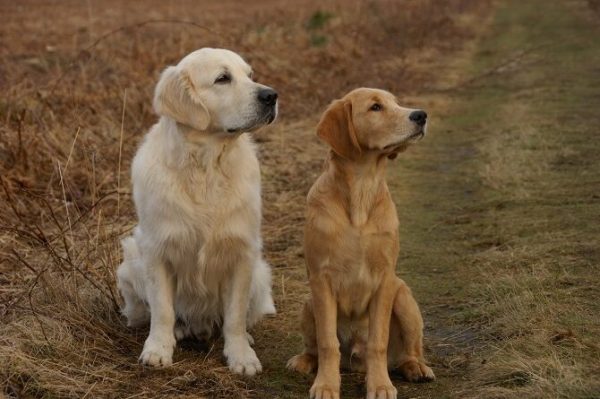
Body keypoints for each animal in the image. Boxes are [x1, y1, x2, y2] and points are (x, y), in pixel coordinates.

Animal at [288, 90, 434, 399]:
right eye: (375, 107)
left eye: (396, 102)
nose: (421, 115)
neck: (362, 189)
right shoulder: (321, 279)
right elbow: (327, 342)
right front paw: (326, 385)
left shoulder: (385, 279)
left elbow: (378, 342)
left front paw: (380, 385)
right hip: (308, 303)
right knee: (315, 348)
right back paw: (304, 361)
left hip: (404, 297)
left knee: (407, 353)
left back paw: (416, 367)